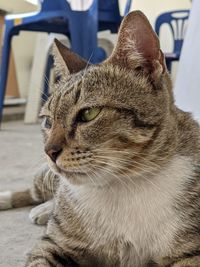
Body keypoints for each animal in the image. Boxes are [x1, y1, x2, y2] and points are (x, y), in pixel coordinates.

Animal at [0, 10, 200, 267]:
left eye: (88, 113)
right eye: (47, 121)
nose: (48, 151)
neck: (122, 185)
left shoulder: (191, 252)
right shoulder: (53, 243)